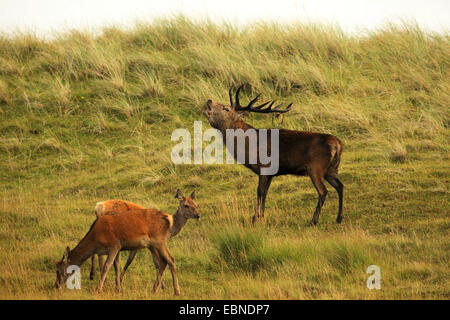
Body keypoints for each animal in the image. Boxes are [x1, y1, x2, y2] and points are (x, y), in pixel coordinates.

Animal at [54, 189, 199, 294]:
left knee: (170, 260)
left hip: (158, 242)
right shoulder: (118, 248)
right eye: (186, 205)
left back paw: (176, 291)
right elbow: (116, 266)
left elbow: (108, 266)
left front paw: (100, 289)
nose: (56, 286)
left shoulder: (115, 245)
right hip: (155, 244)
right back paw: (155, 289)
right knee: (164, 262)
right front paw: (117, 287)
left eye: (59, 271)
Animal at [204, 85, 344, 225]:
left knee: (323, 191)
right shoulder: (271, 173)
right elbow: (265, 192)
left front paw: (255, 218)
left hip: (315, 167)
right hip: (331, 169)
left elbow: (260, 191)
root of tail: (337, 144)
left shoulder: (264, 167)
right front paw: (261, 215)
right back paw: (338, 218)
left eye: (226, 108)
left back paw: (314, 220)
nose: (209, 100)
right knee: (340, 186)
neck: (249, 146)